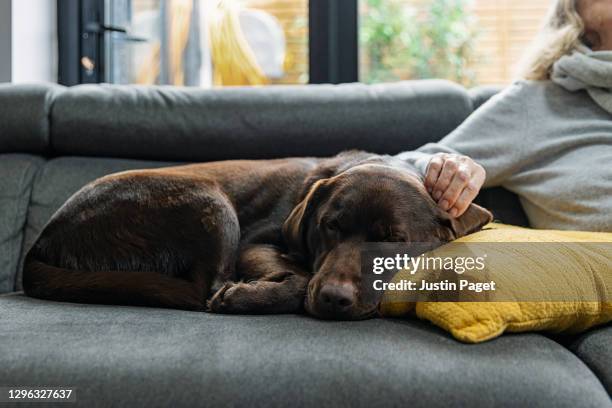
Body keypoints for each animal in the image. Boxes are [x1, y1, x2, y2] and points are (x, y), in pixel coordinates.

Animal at [25, 151, 492, 320]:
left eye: (394, 240)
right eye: (330, 226)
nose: (334, 299)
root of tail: (45, 238)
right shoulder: (256, 242)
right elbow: (299, 278)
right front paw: (249, 295)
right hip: (210, 200)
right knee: (206, 286)